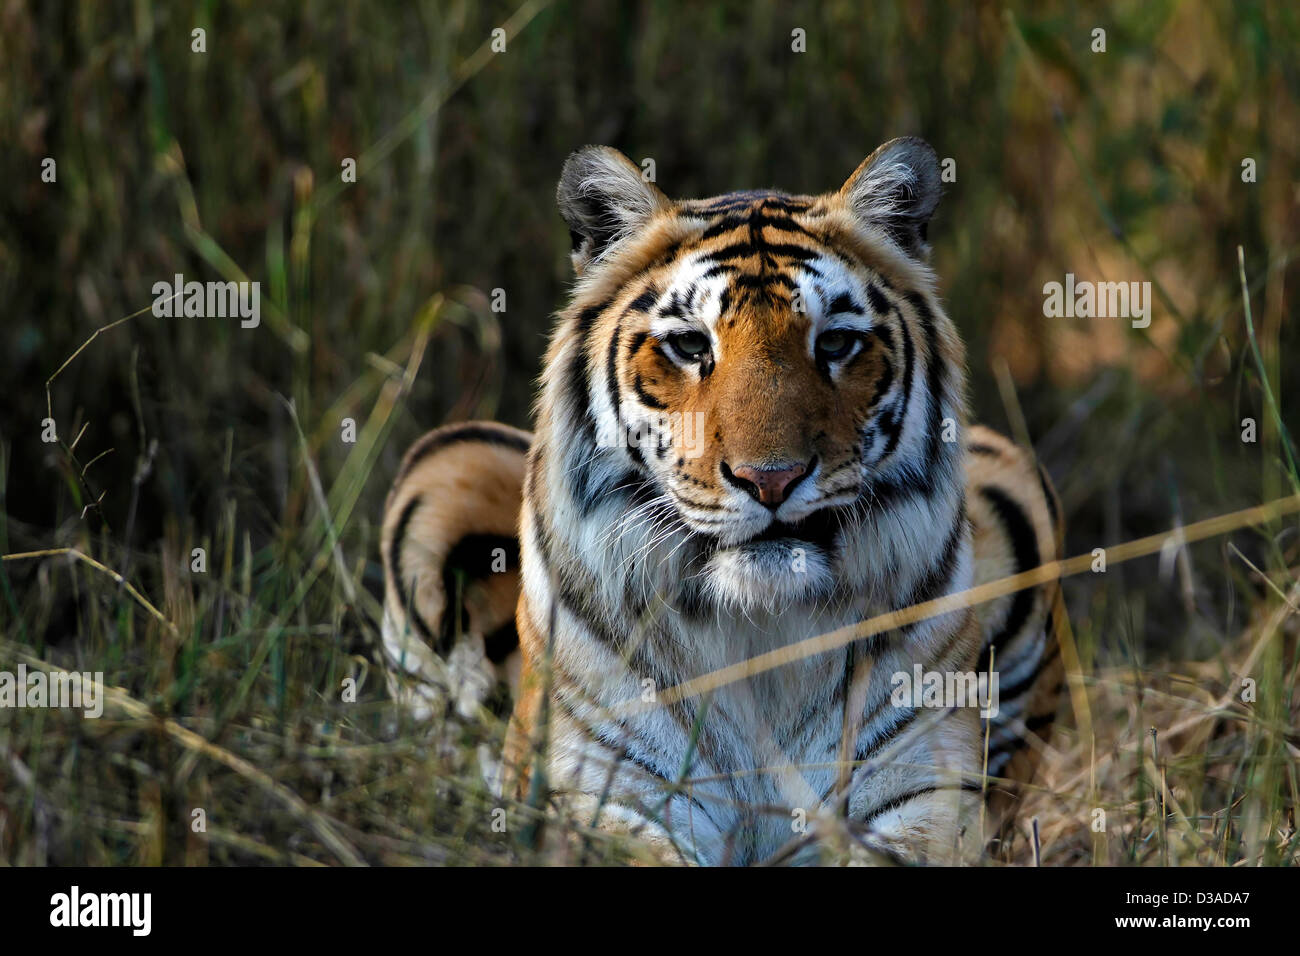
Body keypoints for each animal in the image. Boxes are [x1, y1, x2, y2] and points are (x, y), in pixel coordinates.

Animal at [380, 138, 1065, 865]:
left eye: (835, 342)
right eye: (690, 345)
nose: (771, 479)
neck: (760, 625)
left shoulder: (921, 793)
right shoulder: (604, 793)